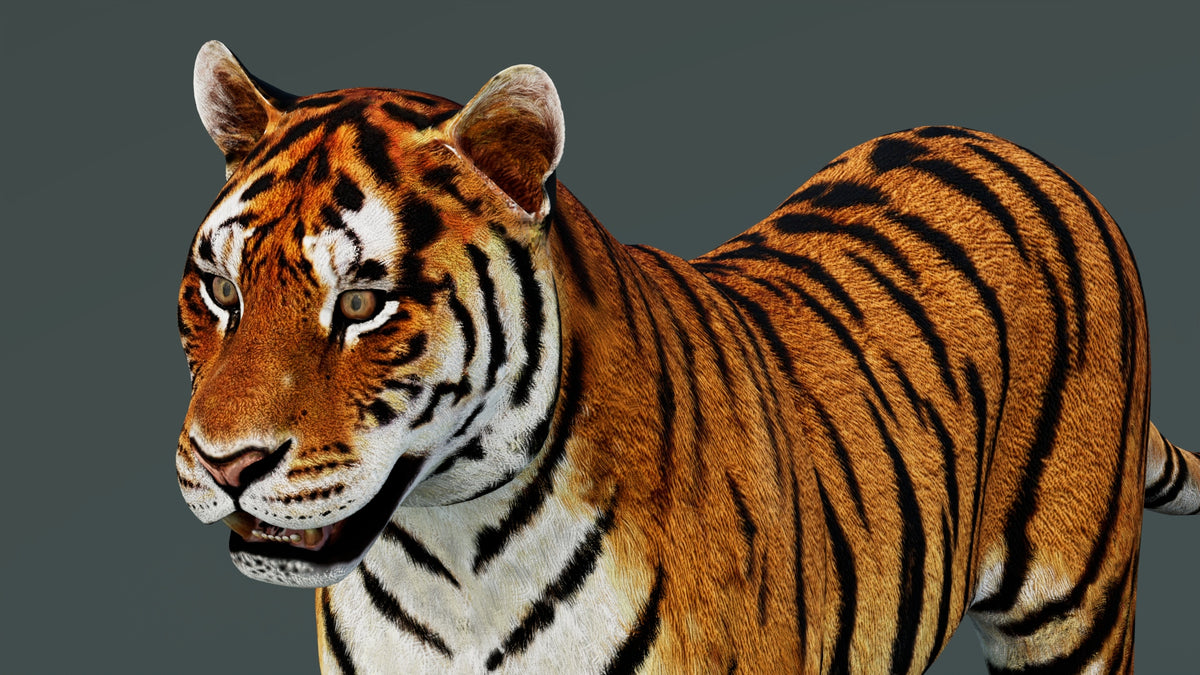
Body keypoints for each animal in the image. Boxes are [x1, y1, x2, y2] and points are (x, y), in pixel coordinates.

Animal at [176, 39, 1200, 674]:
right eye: (220, 289)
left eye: (360, 303)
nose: (225, 466)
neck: (453, 560)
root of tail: (1018, 146)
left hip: (1073, 614)